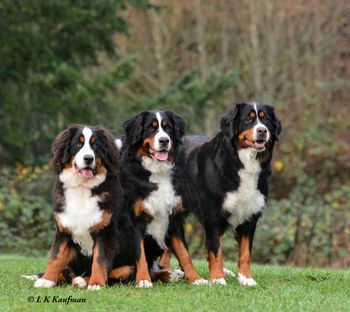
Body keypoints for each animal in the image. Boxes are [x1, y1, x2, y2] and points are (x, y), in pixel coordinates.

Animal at [31, 124, 137, 290]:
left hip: (130, 265)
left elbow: (100, 260)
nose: (88, 158)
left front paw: (96, 283)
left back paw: (82, 280)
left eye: (96, 145)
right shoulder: (63, 228)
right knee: (66, 271)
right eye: (78, 144)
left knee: (118, 271)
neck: (82, 187)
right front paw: (46, 280)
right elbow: (55, 256)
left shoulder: (106, 230)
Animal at [120, 109, 208, 288]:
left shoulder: (173, 219)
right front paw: (143, 280)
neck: (156, 171)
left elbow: (184, 254)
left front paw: (196, 278)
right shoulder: (136, 222)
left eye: (168, 128)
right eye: (151, 128)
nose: (164, 140)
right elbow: (140, 255)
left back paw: (171, 274)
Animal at [178, 102, 282, 286]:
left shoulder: (250, 216)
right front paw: (217, 278)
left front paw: (246, 278)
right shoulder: (213, 215)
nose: (262, 131)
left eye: (266, 120)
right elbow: (215, 249)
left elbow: (245, 252)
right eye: (248, 119)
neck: (243, 163)